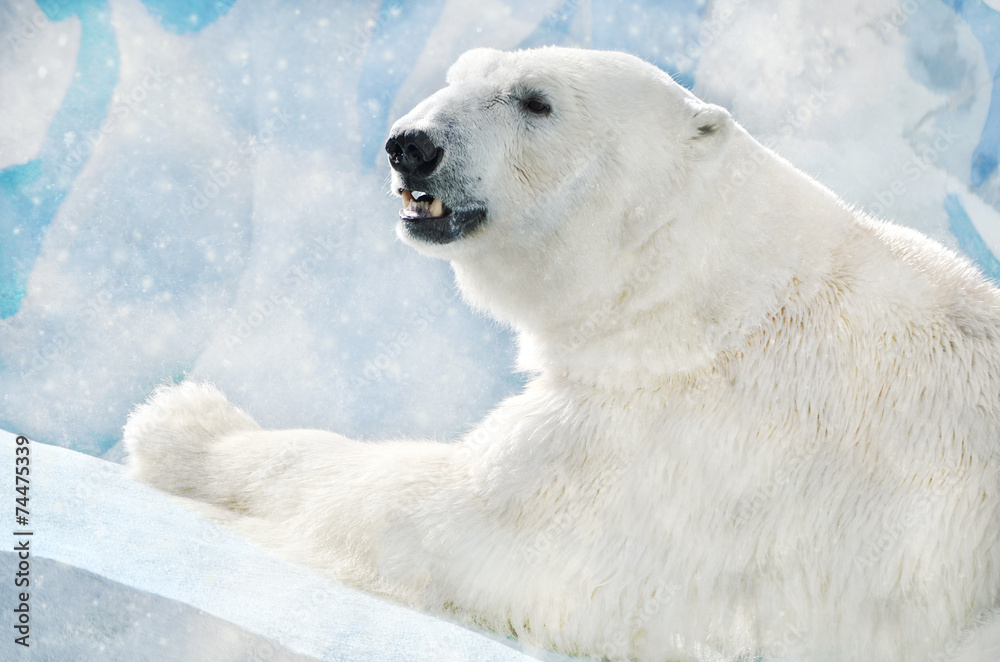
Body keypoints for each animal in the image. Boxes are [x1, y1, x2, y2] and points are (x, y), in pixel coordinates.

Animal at [125, 47, 1000, 662]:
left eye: (535, 99)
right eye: (460, 75)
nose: (411, 144)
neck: (708, 297)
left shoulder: (667, 443)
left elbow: (442, 513)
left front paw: (184, 422)